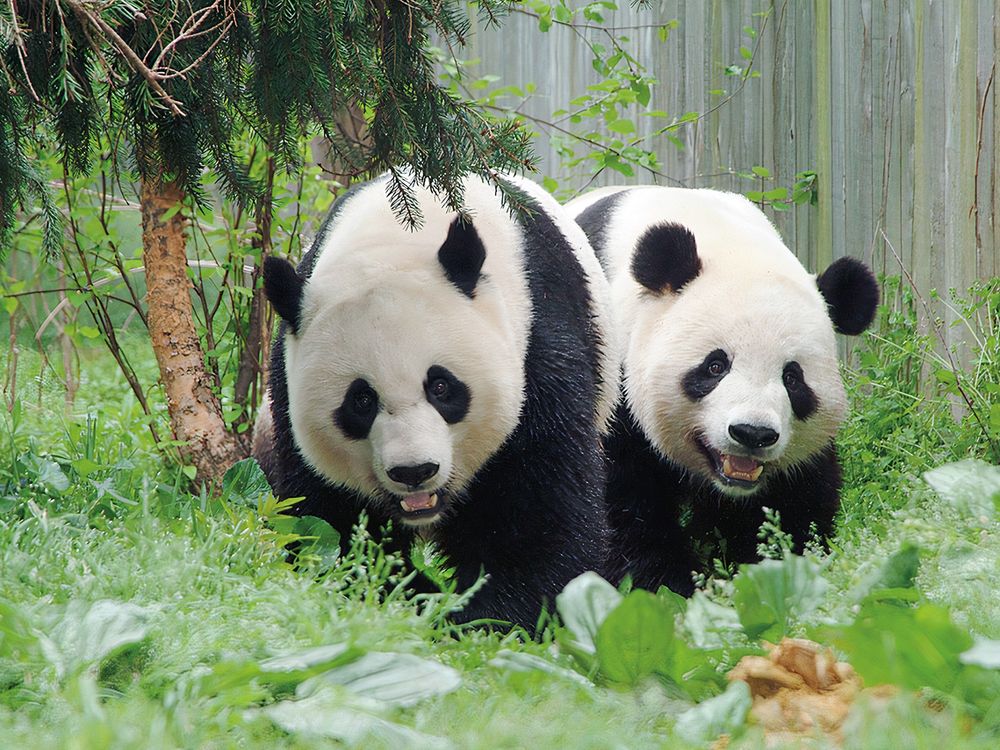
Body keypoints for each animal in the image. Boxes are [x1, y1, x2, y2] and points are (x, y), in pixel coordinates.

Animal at [252, 170, 616, 628]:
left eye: (441, 387)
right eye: (361, 401)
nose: (414, 471)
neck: (400, 231)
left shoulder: (538, 340)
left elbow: (538, 510)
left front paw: (486, 615)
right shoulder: (287, 380)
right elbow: (331, 519)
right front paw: (401, 599)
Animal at [568, 185, 880, 596]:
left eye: (793, 378)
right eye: (716, 366)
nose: (752, 433)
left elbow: (796, 503)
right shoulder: (612, 381)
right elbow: (622, 500)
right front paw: (672, 584)